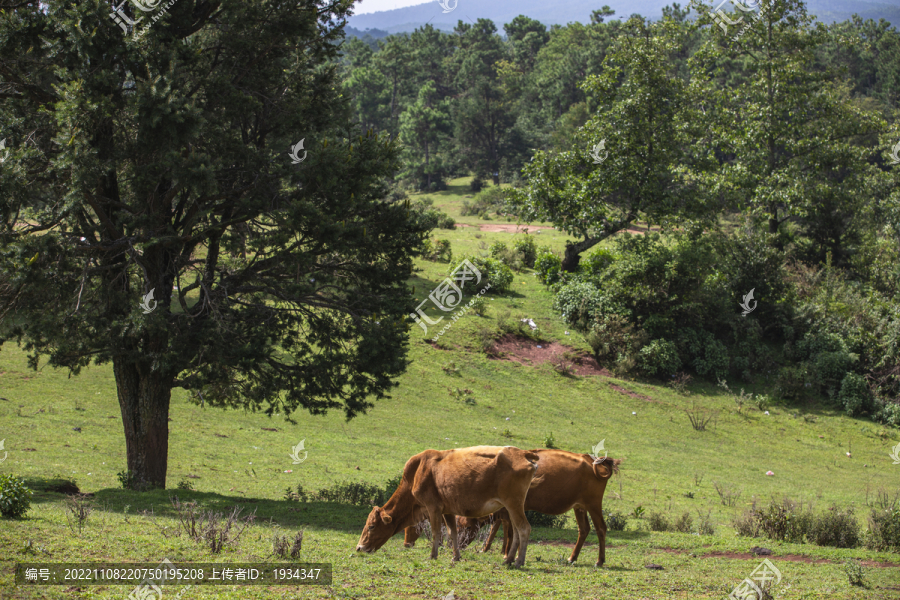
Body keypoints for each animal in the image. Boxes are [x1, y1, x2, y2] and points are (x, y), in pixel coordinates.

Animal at [356, 446, 540, 568]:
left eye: (371, 526)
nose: (359, 548)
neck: (416, 474)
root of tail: (522, 452)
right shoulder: (448, 510)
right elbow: (453, 532)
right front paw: (455, 557)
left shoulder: (432, 507)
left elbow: (436, 532)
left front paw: (432, 555)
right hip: (511, 508)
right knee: (516, 531)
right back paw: (509, 559)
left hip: (513, 504)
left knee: (524, 528)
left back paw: (518, 561)